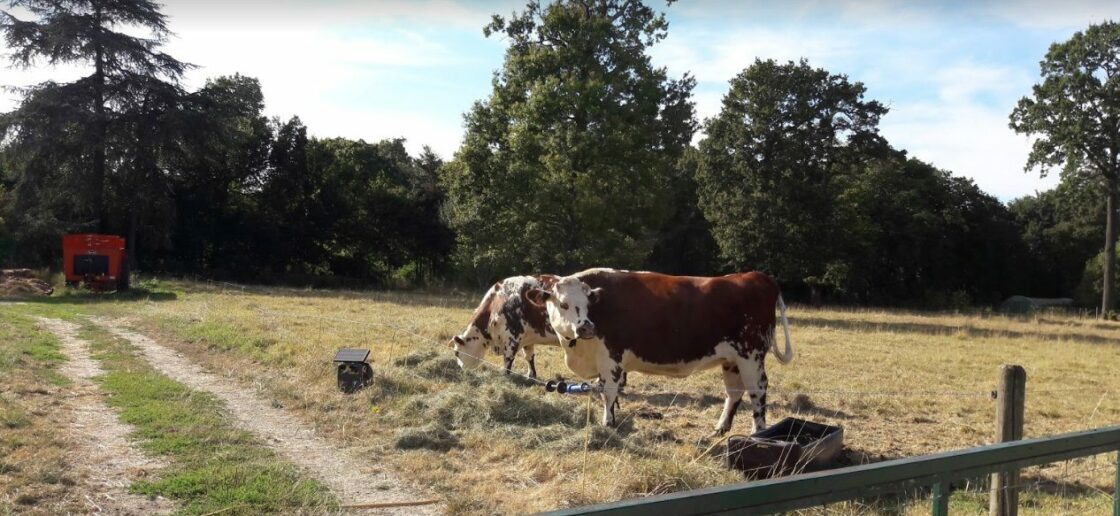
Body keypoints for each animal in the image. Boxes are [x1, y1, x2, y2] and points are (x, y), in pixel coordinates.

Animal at [526, 267, 797, 432]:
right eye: (563, 304)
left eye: (587, 303)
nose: (586, 327)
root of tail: (755, 276)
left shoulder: (610, 359)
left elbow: (608, 394)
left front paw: (608, 424)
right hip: (732, 359)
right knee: (734, 392)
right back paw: (721, 428)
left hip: (751, 355)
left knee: (757, 391)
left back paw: (757, 433)